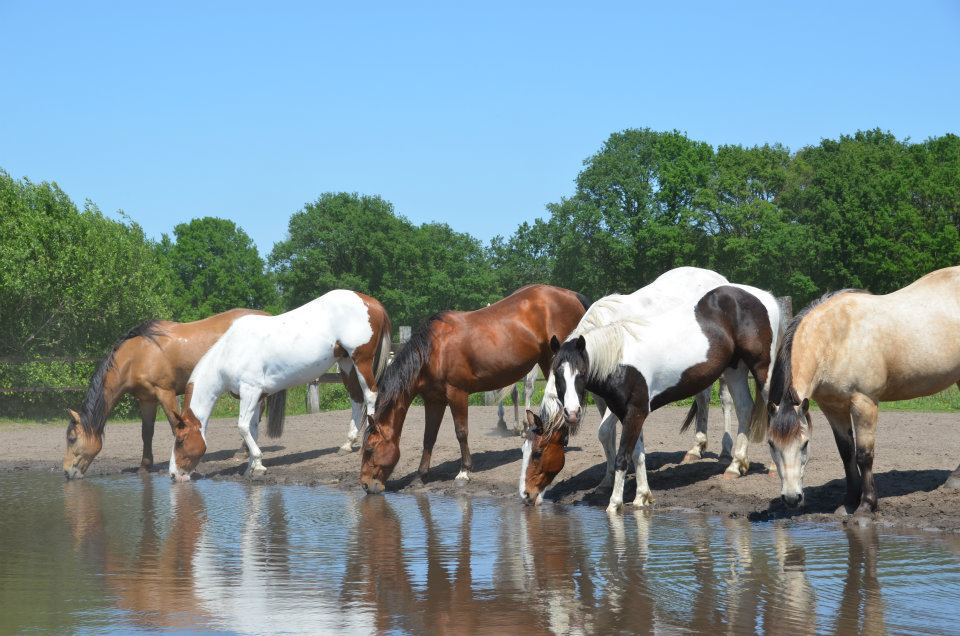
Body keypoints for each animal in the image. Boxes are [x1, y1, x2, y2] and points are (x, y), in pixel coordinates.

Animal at [63, 306, 266, 476]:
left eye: (72, 439)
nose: (66, 472)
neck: (138, 354)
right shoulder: (147, 400)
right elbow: (146, 433)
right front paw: (145, 466)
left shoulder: (166, 393)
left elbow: (175, 427)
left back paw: (242, 452)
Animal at [169, 290, 390, 482]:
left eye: (180, 440)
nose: (172, 474)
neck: (229, 351)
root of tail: (371, 302)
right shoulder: (257, 396)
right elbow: (252, 429)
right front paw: (252, 466)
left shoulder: (250, 391)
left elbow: (242, 426)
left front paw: (258, 465)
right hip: (345, 363)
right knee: (356, 399)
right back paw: (346, 445)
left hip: (361, 359)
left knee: (370, 394)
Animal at [358, 286, 588, 494]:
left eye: (369, 449)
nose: (365, 485)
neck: (434, 350)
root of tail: (571, 294)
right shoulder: (434, 400)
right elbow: (429, 437)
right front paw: (420, 476)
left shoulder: (457, 394)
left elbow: (461, 432)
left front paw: (464, 472)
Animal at [520, 284, 784, 512]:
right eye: (557, 374)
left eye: (538, 453)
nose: (526, 494)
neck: (619, 359)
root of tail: (764, 296)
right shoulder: (629, 413)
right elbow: (638, 454)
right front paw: (642, 497)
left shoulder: (635, 412)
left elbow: (623, 457)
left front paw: (614, 504)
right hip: (734, 369)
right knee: (745, 408)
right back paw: (735, 466)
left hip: (762, 369)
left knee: (773, 408)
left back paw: (773, 466)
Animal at [764, 266, 960, 516]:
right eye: (771, 444)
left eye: (805, 443)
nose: (791, 498)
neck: (835, 338)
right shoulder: (833, 407)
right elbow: (846, 453)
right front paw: (848, 501)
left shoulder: (864, 403)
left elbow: (864, 455)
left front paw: (866, 504)